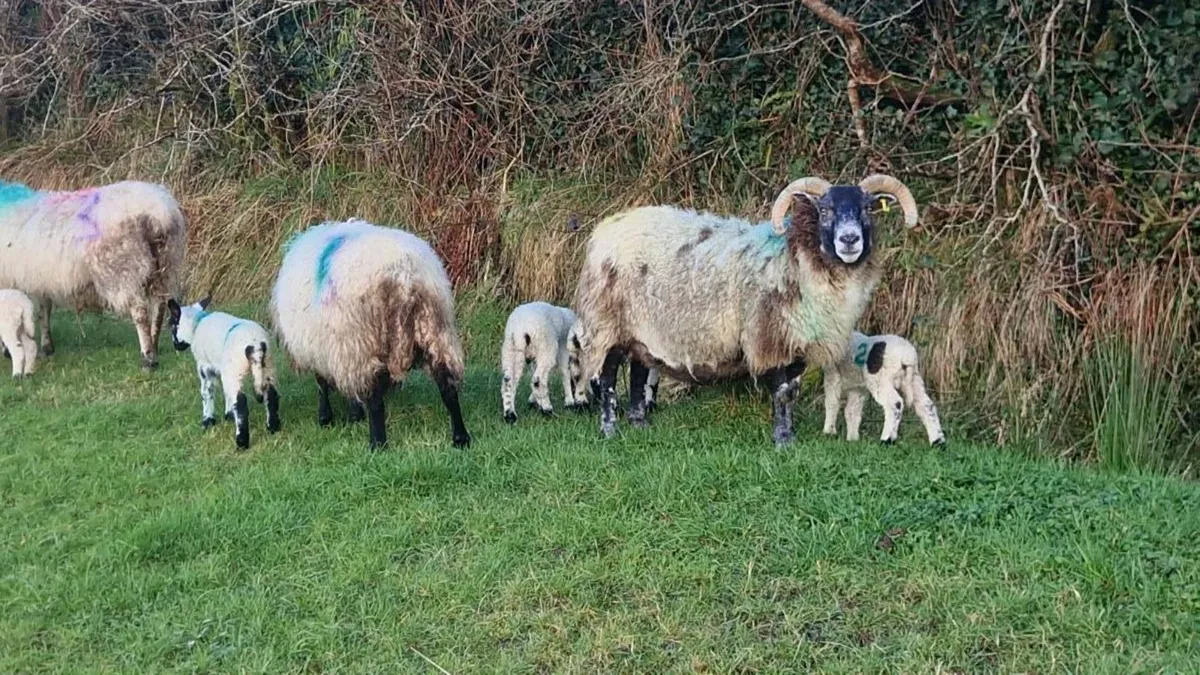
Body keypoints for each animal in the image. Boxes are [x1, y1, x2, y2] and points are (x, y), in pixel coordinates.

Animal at [0, 179, 186, 370]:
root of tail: (158, 213)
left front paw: (7, 350)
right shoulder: (41, 279)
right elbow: (44, 310)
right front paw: (47, 347)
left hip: (125, 268)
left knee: (140, 313)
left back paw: (148, 358)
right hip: (165, 264)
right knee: (159, 307)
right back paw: (154, 347)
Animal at [167, 297, 281, 450]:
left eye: (172, 325)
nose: (176, 345)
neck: (196, 324)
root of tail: (255, 346)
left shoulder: (204, 367)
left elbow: (207, 393)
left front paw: (208, 421)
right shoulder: (223, 369)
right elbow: (226, 393)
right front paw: (229, 415)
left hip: (236, 372)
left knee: (241, 404)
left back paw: (241, 442)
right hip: (268, 367)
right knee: (271, 396)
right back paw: (273, 428)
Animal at [270, 219, 471, 450]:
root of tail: (403, 276)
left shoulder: (326, 348)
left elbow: (322, 383)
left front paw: (328, 417)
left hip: (363, 342)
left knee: (375, 400)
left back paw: (377, 443)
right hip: (435, 327)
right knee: (447, 385)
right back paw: (460, 437)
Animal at [573, 174, 919, 446]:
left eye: (868, 208)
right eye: (824, 210)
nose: (849, 240)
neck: (796, 257)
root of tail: (604, 230)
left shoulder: (797, 341)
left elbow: (792, 390)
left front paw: (789, 434)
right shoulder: (772, 337)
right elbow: (782, 391)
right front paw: (783, 440)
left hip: (640, 330)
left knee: (638, 370)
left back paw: (640, 424)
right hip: (609, 323)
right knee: (607, 379)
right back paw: (610, 430)